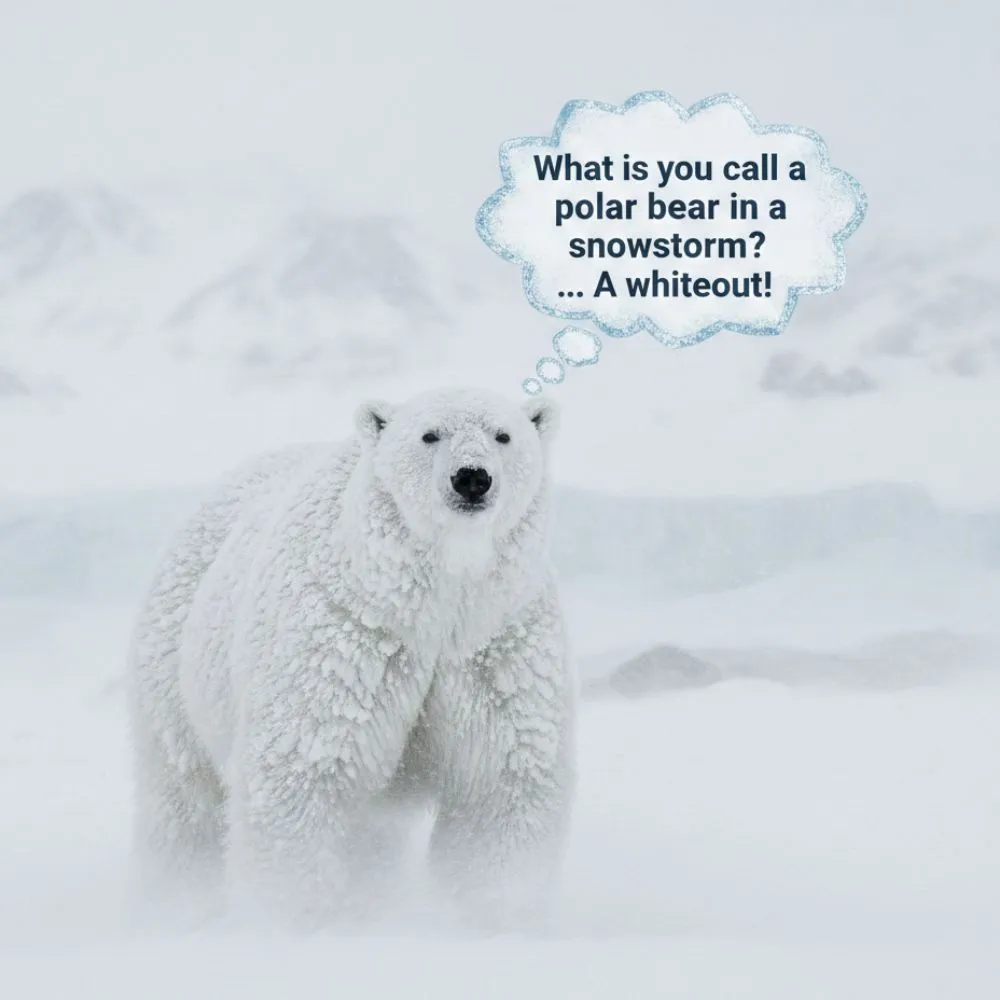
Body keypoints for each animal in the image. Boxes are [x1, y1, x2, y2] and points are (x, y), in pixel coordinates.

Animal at [126, 387, 576, 928]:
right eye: (429, 435)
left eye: (503, 435)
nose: (472, 477)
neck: (428, 604)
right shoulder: (345, 635)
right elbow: (302, 768)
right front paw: (298, 916)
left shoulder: (494, 641)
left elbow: (499, 776)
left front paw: (496, 912)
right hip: (175, 661)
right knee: (184, 794)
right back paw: (178, 898)